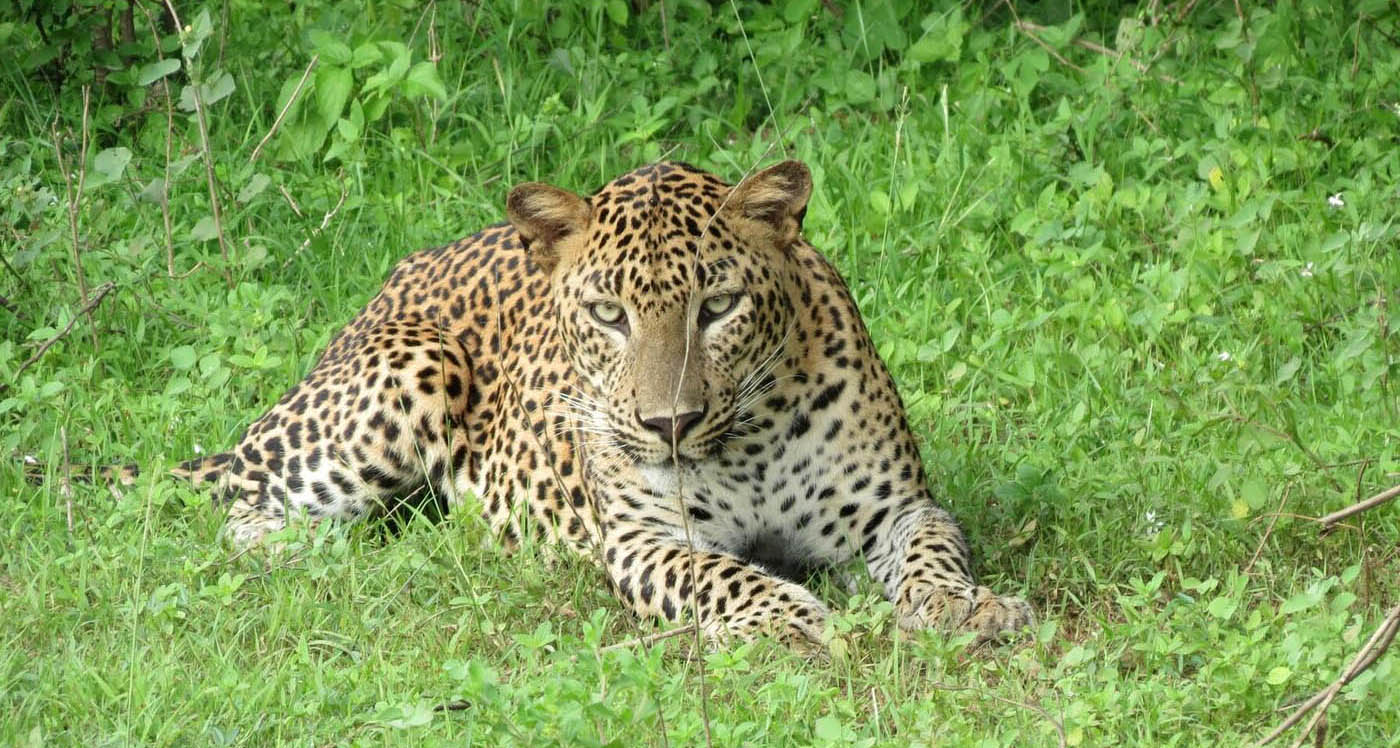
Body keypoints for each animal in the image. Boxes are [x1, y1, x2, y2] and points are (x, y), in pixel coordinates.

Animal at [73, 161, 1041, 647]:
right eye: (609, 315)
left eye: (719, 307)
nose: (669, 426)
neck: (751, 437)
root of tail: (398, 276)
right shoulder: (645, 539)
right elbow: (719, 574)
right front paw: (787, 612)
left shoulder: (897, 507)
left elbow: (932, 553)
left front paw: (967, 607)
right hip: (405, 373)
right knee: (243, 502)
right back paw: (330, 555)